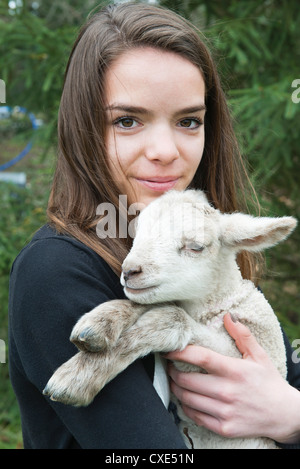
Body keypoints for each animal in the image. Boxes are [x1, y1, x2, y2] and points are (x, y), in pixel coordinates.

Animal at [43, 190, 296, 450]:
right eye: (137, 232)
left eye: (196, 247)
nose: (129, 271)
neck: (218, 305)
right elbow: (151, 302)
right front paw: (99, 323)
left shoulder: (250, 355)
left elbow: (171, 316)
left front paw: (76, 378)